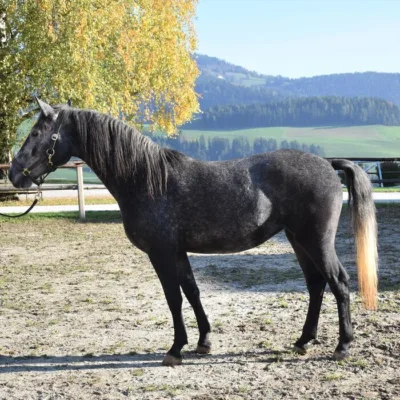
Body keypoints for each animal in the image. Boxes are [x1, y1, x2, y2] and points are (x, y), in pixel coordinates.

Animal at [9, 99, 378, 366]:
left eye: (37, 134)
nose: (14, 174)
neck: (145, 178)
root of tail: (327, 164)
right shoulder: (177, 251)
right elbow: (192, 291)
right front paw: (203, 342)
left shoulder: (160, 252)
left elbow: (173, 297)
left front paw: (175, 349)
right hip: (298, 240)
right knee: (316, 285)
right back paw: (303, 341)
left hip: (316, 241)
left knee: (338, 282)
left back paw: (343, 346)